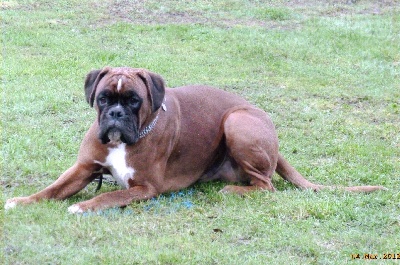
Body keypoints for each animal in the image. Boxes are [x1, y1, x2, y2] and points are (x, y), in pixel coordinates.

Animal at [3, 66, 384, 212]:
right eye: (104, 99)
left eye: (134, 101)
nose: (116, 114)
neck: (123, 141)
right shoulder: (83, 169)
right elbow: (52, 189)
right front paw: (22, 200)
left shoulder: (145, 188)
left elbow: (109, 197)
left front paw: (84, 206)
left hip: (237, 121)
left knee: (266, 186)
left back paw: (235, 191)